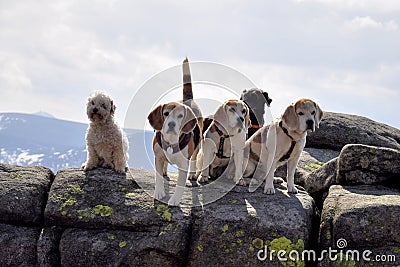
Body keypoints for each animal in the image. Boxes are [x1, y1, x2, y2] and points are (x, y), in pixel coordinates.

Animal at [147, 57, 202, 206]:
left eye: (180, 116)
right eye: (166, 113)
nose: (171, 124)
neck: (171, 141)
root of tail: (188, 100)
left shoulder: (183, 165)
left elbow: (180, 184)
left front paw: (175, 199)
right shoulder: (158, 158)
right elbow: (158, 177)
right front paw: (159, 192)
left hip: (198, 145)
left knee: (194, 158)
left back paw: (192, 174)